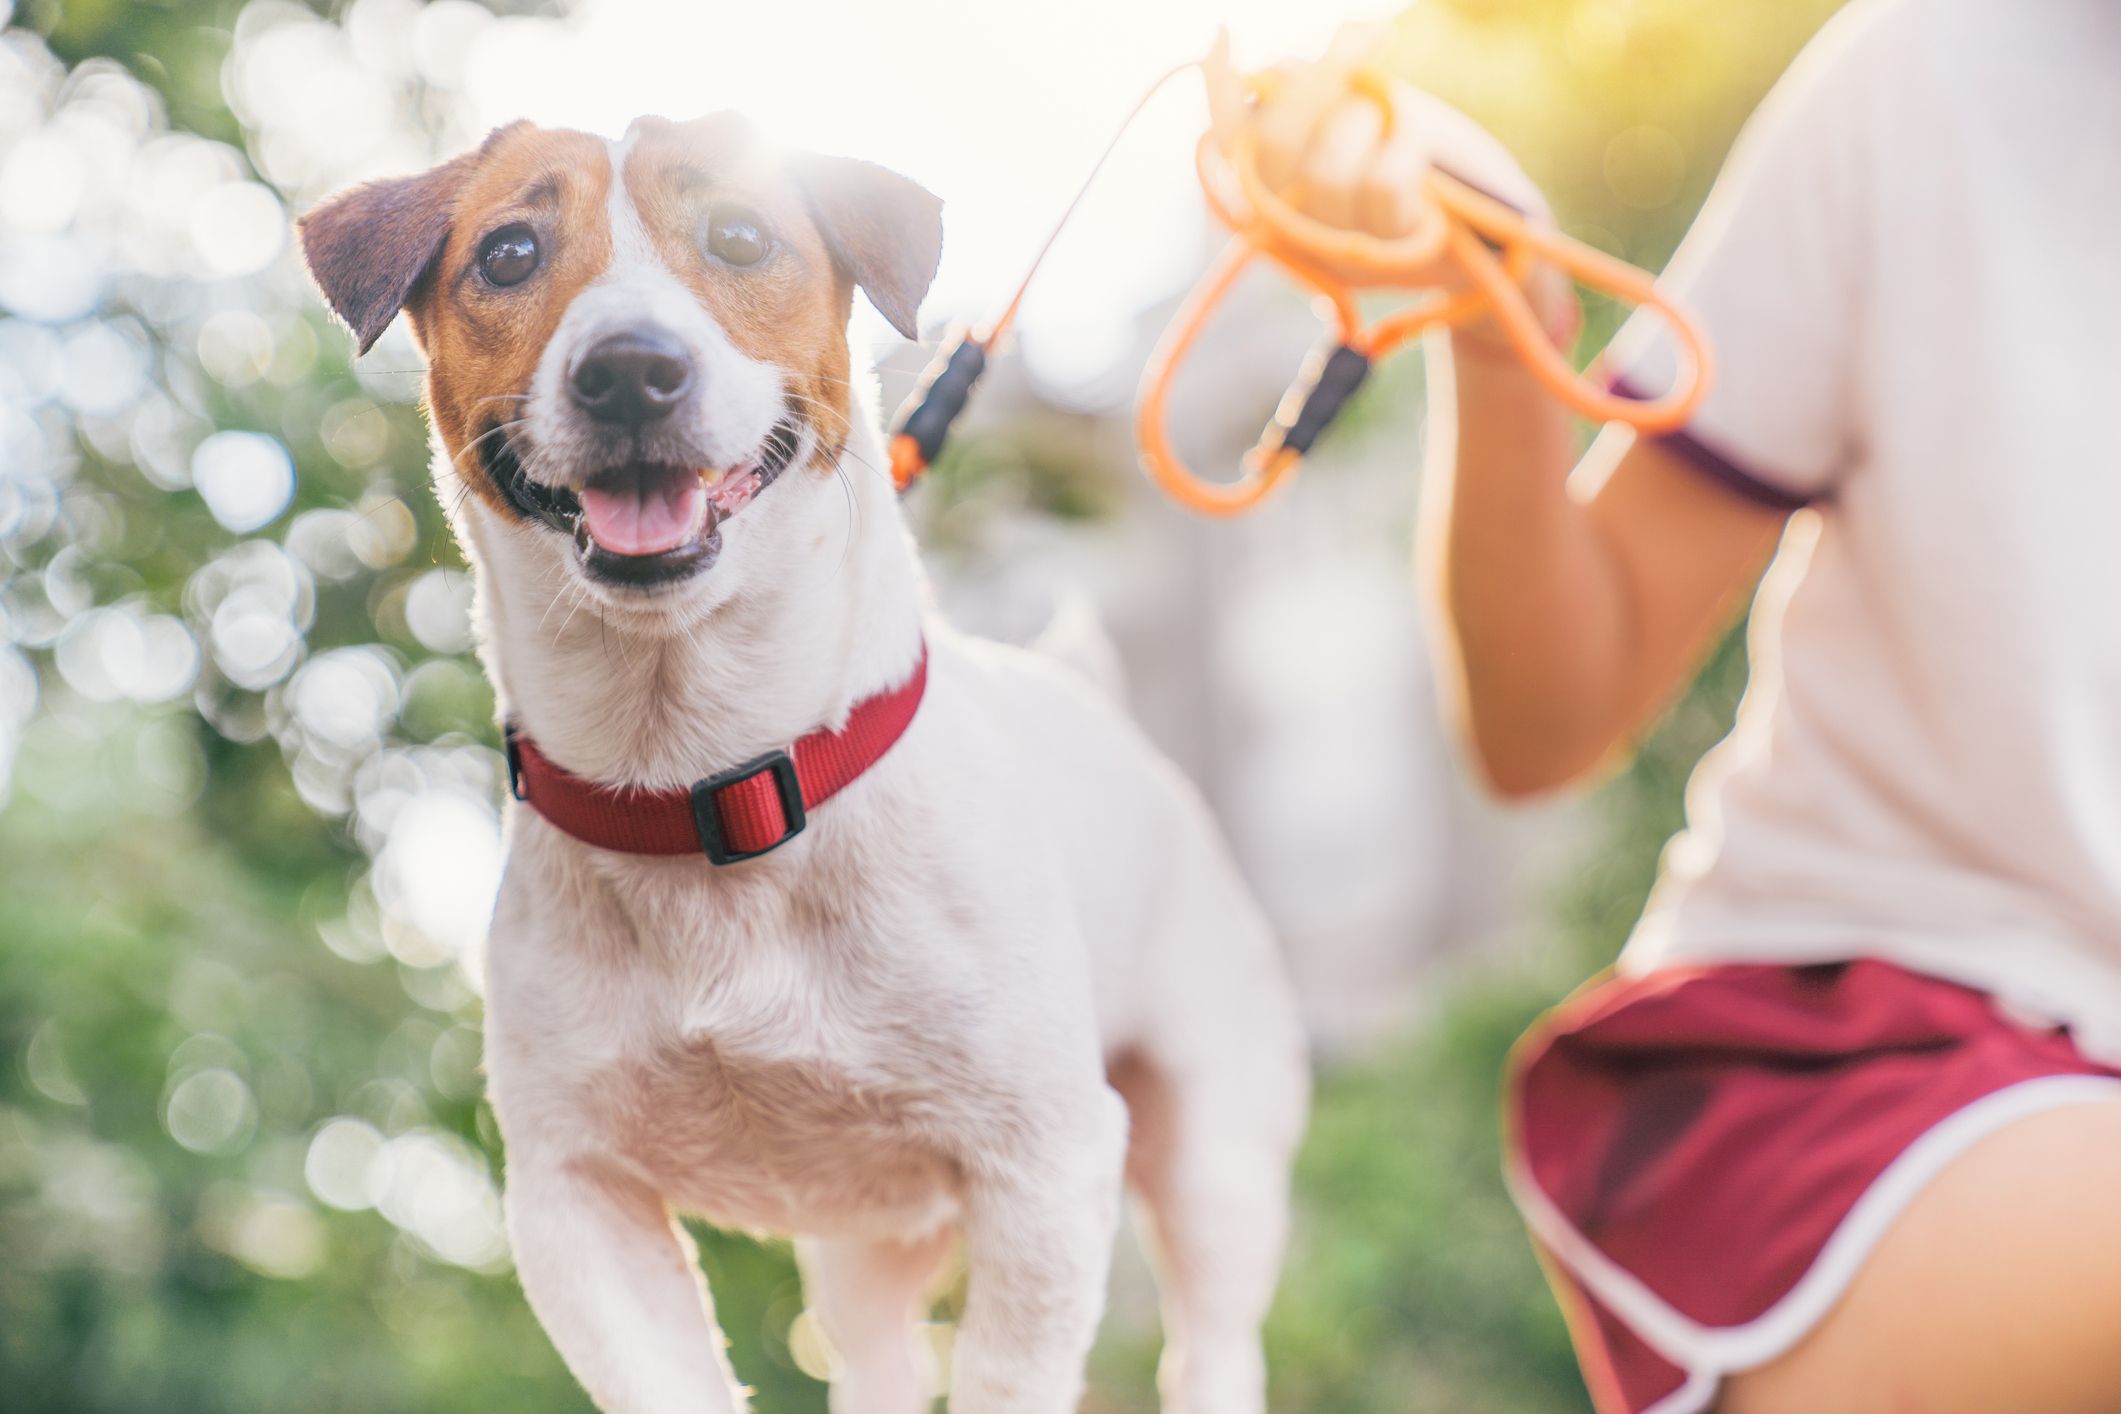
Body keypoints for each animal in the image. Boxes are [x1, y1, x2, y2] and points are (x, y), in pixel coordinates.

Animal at [299, 113, 1306, 1414]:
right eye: (509, 253)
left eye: (739, 236)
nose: (629, 368)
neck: (713, 783)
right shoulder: (577, 1200)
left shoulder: (1044, 1167)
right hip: (864, 1248)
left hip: (1213, 1162)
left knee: (1213, 1336)